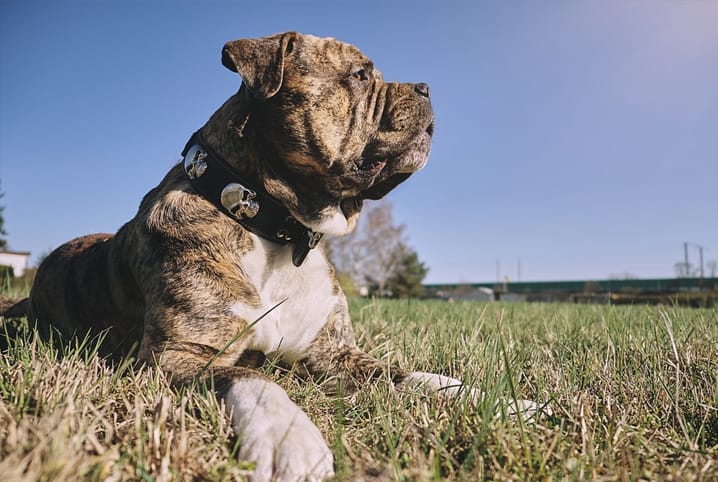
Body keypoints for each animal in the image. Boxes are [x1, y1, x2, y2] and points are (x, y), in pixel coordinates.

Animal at [1, 32, 540, 480]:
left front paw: (497, 401)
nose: (427, 88)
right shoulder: (177, 356)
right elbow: (254, 379)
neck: (275, 228)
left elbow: (408, 374)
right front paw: (289, 438)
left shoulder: (335, 353)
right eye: (360, 75)